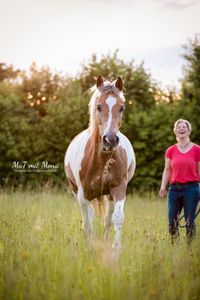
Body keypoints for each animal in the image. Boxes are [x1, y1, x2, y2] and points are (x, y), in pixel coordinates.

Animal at [64, 76, 136, 250]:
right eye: (98, 106)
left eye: (122, 108)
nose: (110, 140)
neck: (101, 160)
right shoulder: (83, 194)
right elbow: (87, 222)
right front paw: (90, 248)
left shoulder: (119, 188)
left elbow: (117, 218)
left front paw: (115, 249)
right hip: (76, 191)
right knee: (88, 217)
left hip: (108, 195)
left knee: (107, 219)